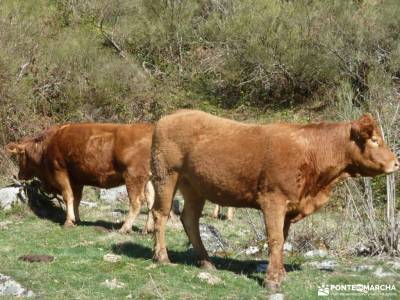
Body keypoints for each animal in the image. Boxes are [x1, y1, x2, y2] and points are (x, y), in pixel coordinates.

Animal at [5, 123, 155, 233]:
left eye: (20, 156)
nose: (19, 175)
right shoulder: (77, 178)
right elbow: (77, 199)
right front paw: (77, 219)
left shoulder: (60, 171)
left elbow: (68, 196)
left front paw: (68, 221)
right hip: (148, 179)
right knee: (151, 200)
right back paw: (147, 229)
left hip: (133, 176)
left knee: (136, 202)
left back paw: (124, 228)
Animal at [152, 110, 398, 288]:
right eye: (374, 139)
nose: (396, 162)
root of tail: (170, 116)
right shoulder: (273, 200)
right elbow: (275, 239)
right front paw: (272, 280)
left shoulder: (289, 206)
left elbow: (283, 239)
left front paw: (281, 274)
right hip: (166, 176)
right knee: (160, 214)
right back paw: (162, 257)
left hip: (194, 187)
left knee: (190, 219)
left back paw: (206, 261)